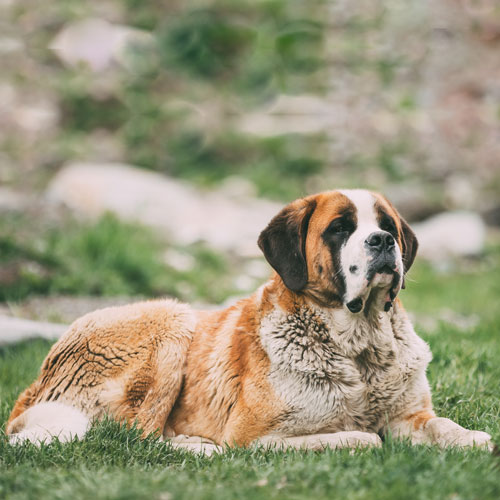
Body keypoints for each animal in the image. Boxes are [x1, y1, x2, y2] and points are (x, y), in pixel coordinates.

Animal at [6, 188, 492, 454]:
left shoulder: (409, 414)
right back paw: (197, 448)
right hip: (171, 318)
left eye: (387, 225)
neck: (359, 346)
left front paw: (471, 438)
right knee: (137, 434)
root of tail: (33, 385)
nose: (383, 241)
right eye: (340, 229)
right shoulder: (254, 437)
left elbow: (440, 424)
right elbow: (360, 437)